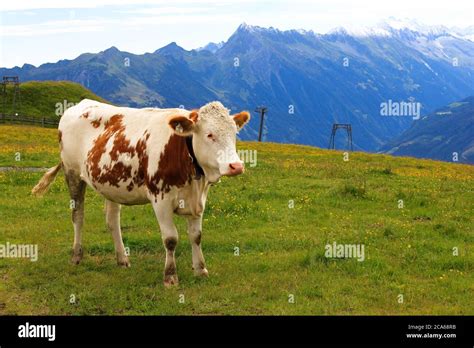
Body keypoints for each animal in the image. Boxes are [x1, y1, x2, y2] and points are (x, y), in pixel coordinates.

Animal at [31, 99, 250, 286]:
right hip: (73, 173)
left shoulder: (197, 200)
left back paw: (122, 259)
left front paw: (201, 270)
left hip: (110, 183)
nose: (236, 166)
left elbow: (196, 236)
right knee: (78, 216)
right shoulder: (160, 199)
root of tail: (79, 104)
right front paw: (170, 277)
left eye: (234, 134)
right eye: (210, 135)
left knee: (112, 221)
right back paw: (77, 255)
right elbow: (171, 239)